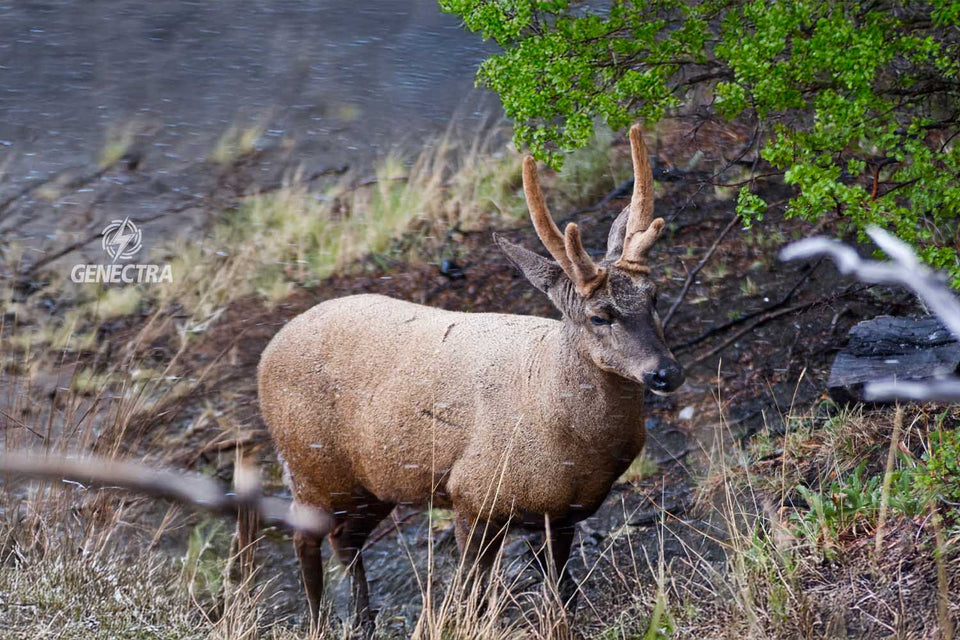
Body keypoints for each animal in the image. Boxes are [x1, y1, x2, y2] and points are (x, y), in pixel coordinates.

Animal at [258, 125, 684, 636]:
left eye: (654, 296)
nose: (666, 372)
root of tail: (268, 352)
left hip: (371, 481)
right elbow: (470, 598)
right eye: (599, 316)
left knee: (347, 541)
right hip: (311, 465)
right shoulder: (472, 495)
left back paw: (363, 621)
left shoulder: (560, 513)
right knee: (305, 540)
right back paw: (321, 621)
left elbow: (562, 592)